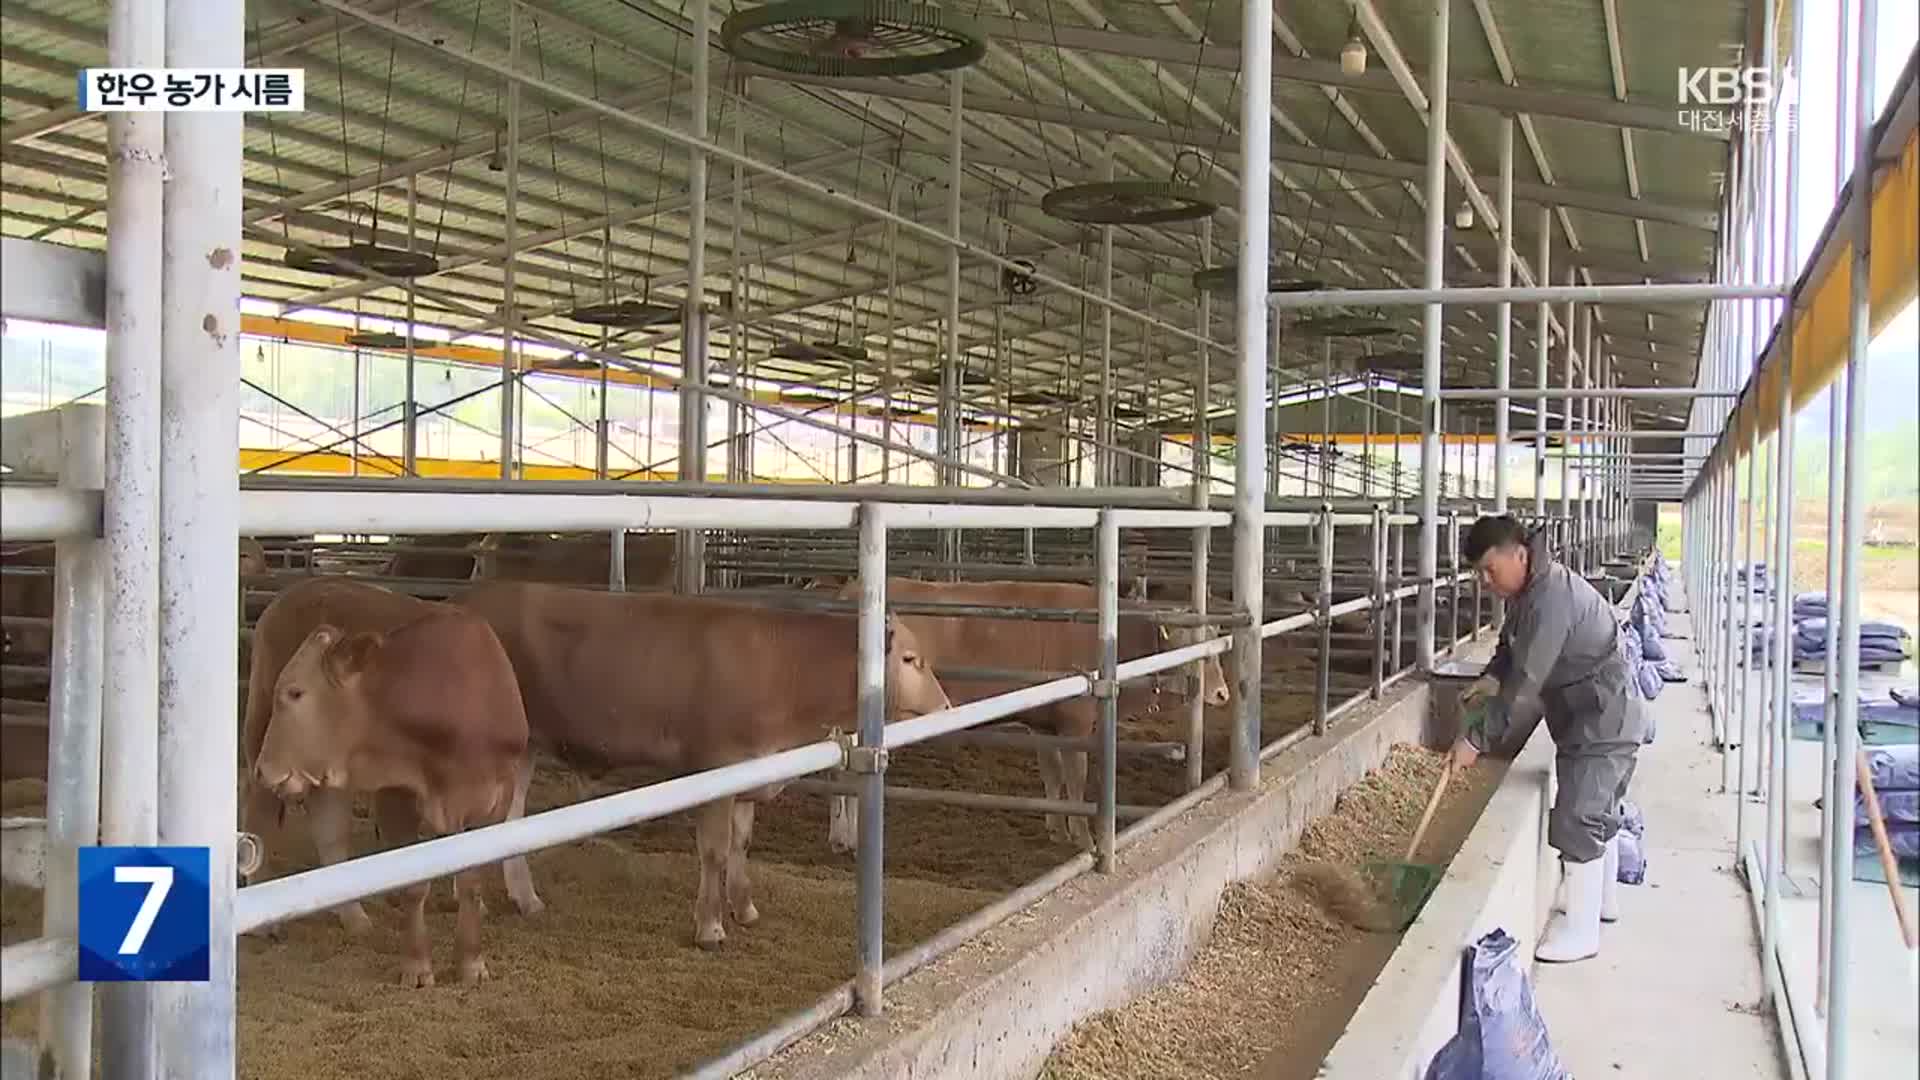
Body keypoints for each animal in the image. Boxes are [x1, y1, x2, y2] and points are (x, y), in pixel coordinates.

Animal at [456, 580, 952, 941]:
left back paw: (519, 900)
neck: (784, 667)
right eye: (911, 659)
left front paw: (745, 908)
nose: (947, 707)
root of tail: (475, 601)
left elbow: (741, 843)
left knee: (506, 822)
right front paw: (710, 925)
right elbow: (713, 850)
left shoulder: (752, 773)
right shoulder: (716, 765)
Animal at [837, 576, 1228, 845]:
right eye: (1198, 649)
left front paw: (1056, 828)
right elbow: (1075, 778)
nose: (1223, 694)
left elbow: (1052, 774)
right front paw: (1083, 837)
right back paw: (848, 837)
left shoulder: (1044, 725)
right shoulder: (1075, 725)